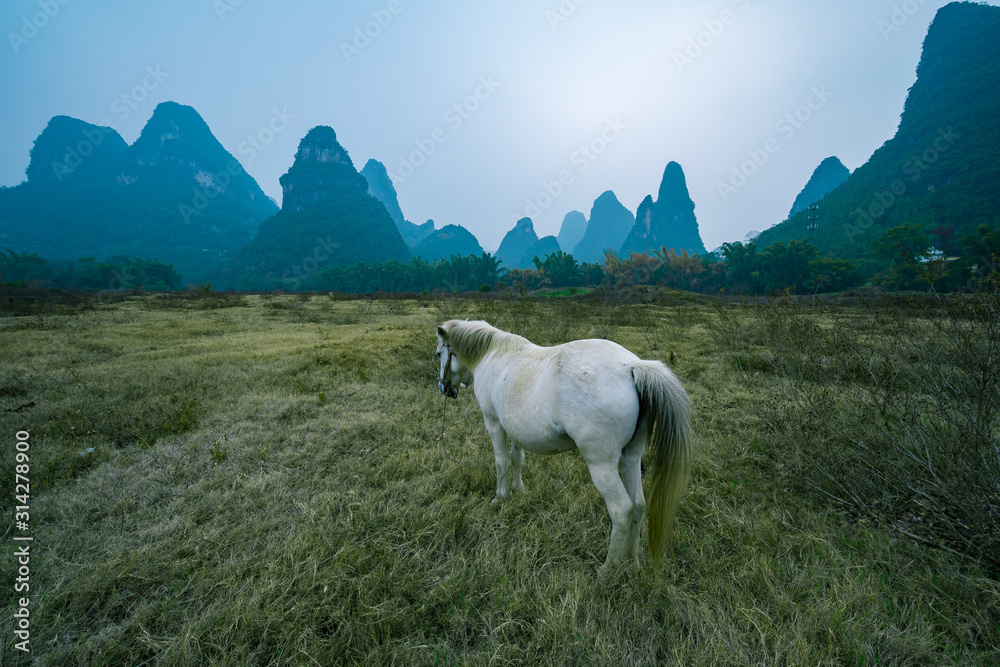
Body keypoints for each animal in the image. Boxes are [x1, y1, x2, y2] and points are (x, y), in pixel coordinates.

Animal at [435, 319, 692, 567]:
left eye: (439, 353)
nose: (444, 388)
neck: (494, 353)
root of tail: (631, 367)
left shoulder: (494, 423)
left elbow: (501, 462)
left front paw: (501, 497)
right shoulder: (515, 430)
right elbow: (517, 460)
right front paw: (518, 490)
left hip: (602, 465)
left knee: (622, 510)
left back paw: (608, 569)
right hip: (631, 457)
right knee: (638, 504)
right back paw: (632, 561)